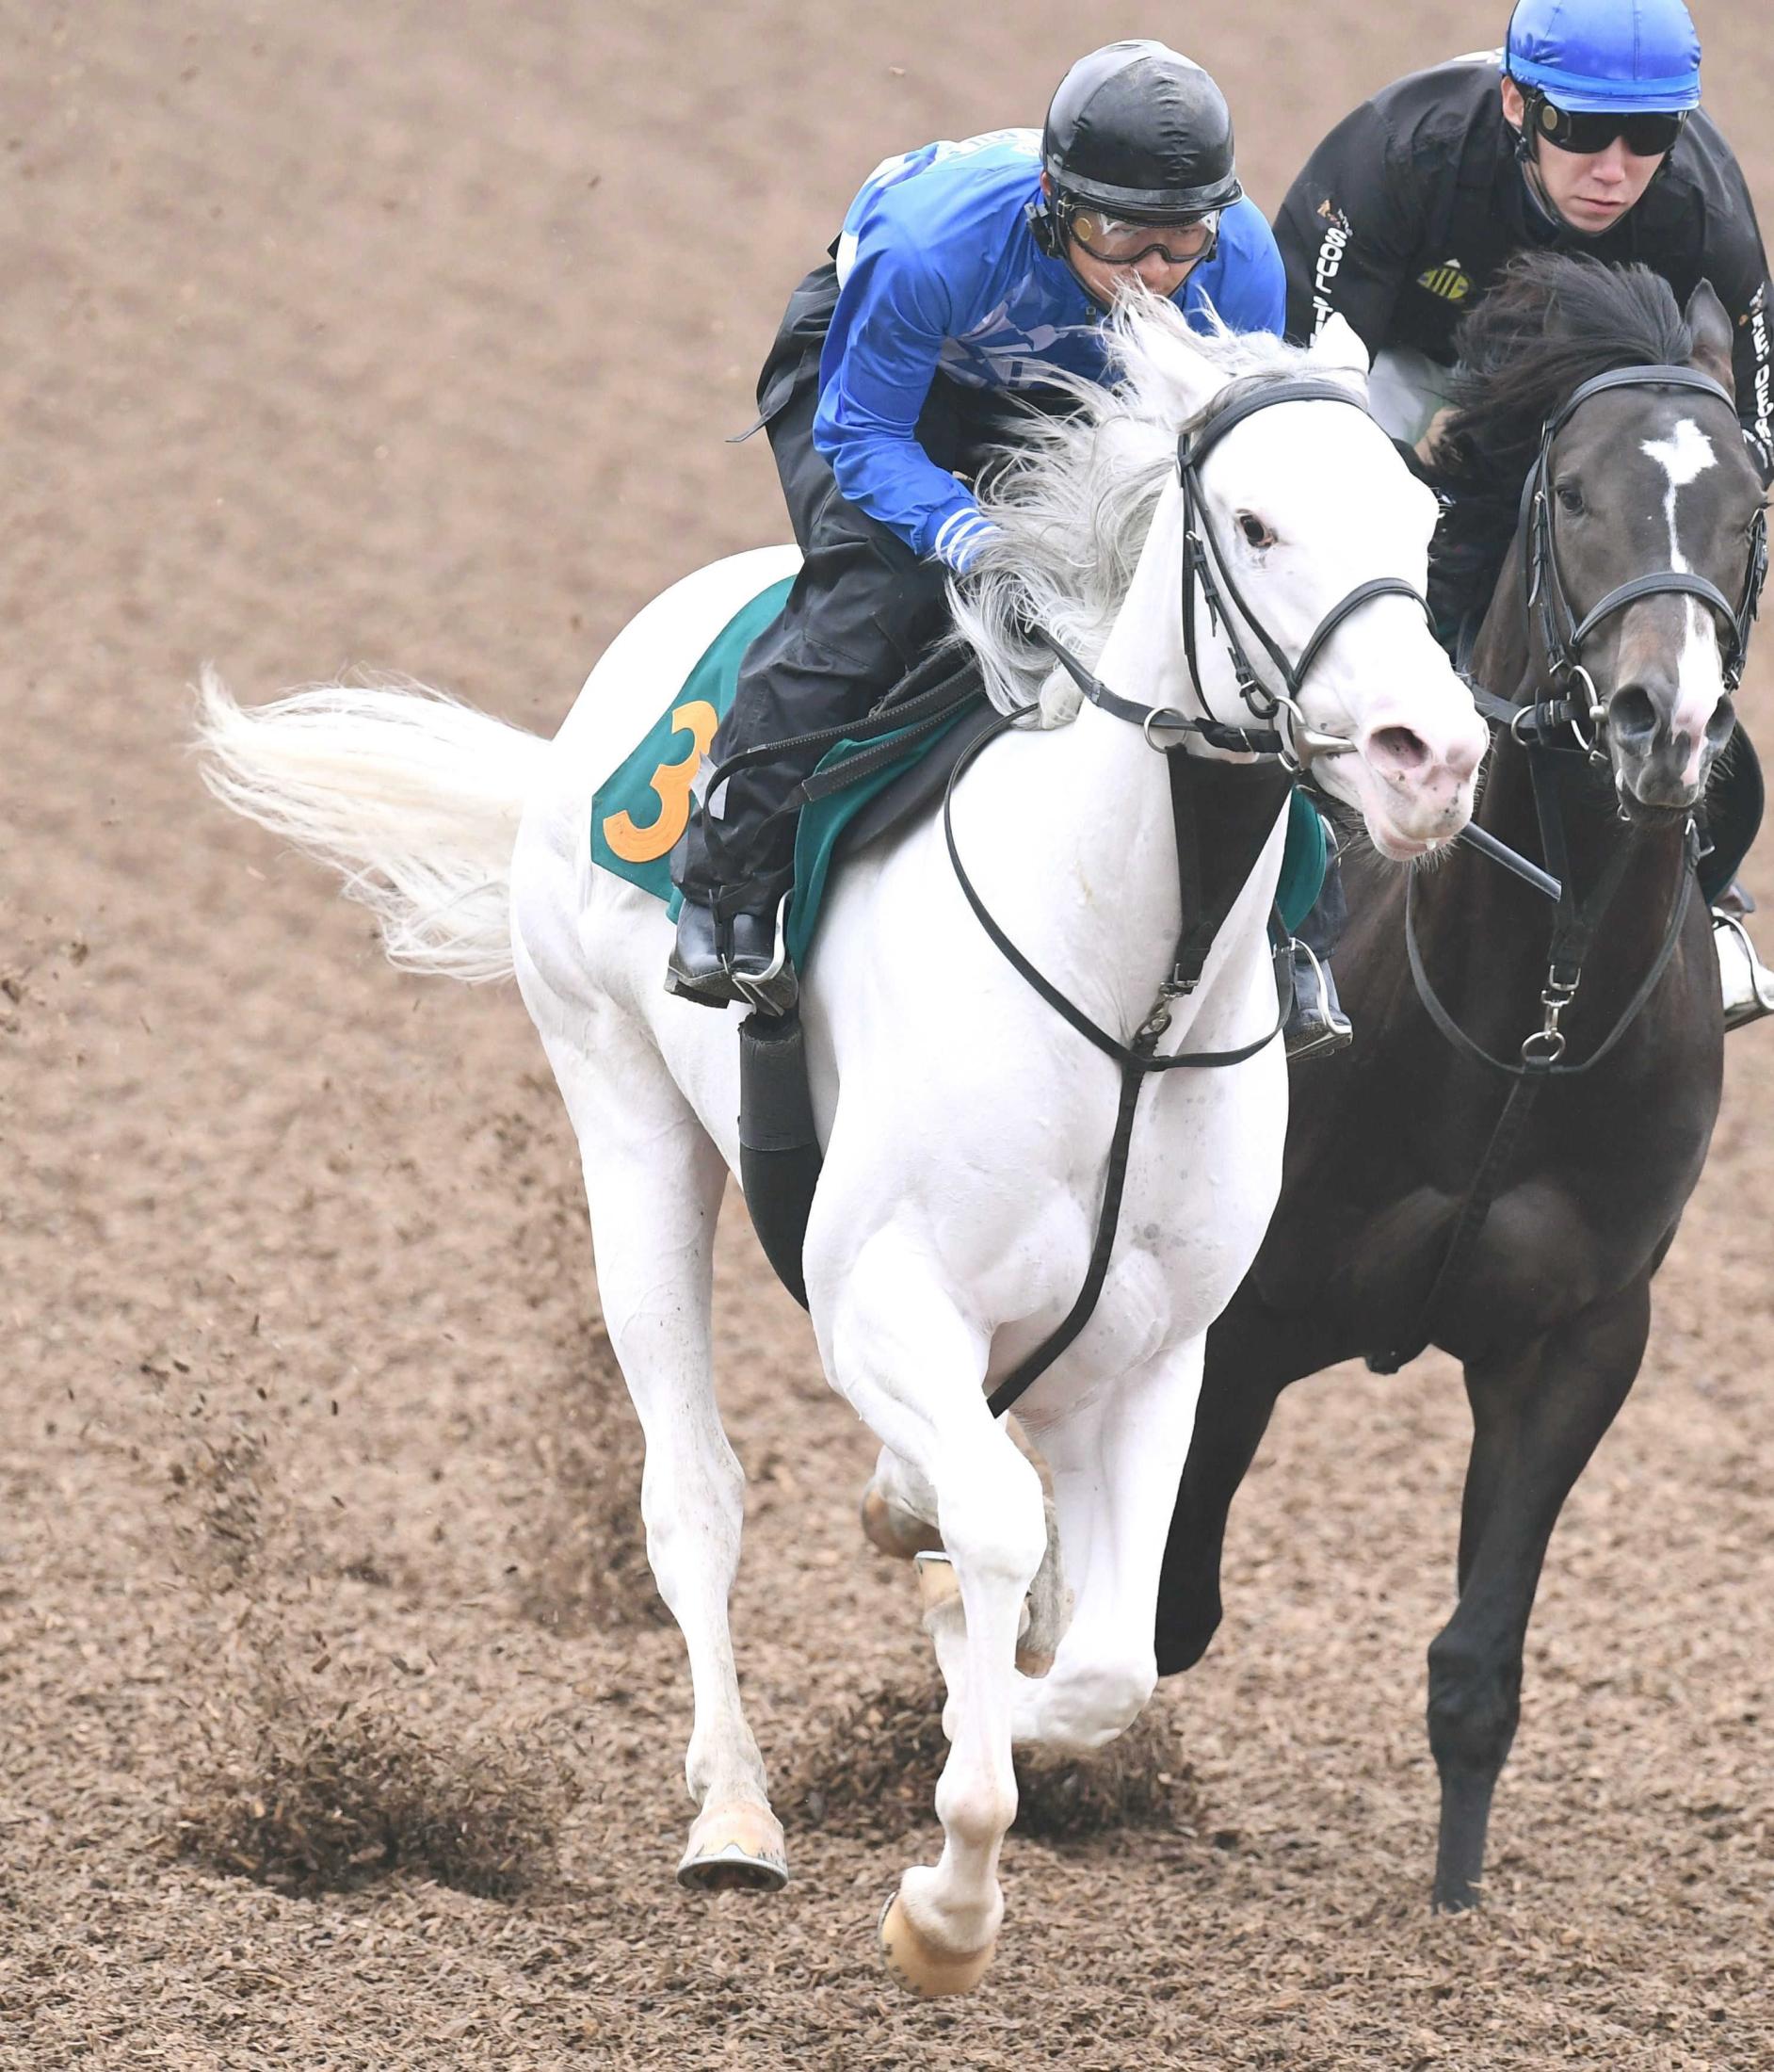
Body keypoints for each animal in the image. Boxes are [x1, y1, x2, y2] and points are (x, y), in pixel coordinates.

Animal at [201, 300, 1492, 1997]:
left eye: (1421, 524)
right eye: (1260, 525)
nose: (1430, 754)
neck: (1129, 994)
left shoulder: (1154, 1354)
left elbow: (1105, 1662)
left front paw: (974, 1698)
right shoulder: (879, 1298)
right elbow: (999, 1538)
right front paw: (947, 1899)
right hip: (623, 1118)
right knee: (692, 1497)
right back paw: (735, 1812)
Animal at [1160, 254, 1766, 1906]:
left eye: (1748, 501)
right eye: (1570, 494)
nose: (1663, 721)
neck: (1529, 1020)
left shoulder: (1578, 1337)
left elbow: (1477, 1666)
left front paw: (1454, 1898)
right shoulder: (1244, 1319)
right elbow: (1166, 1598)